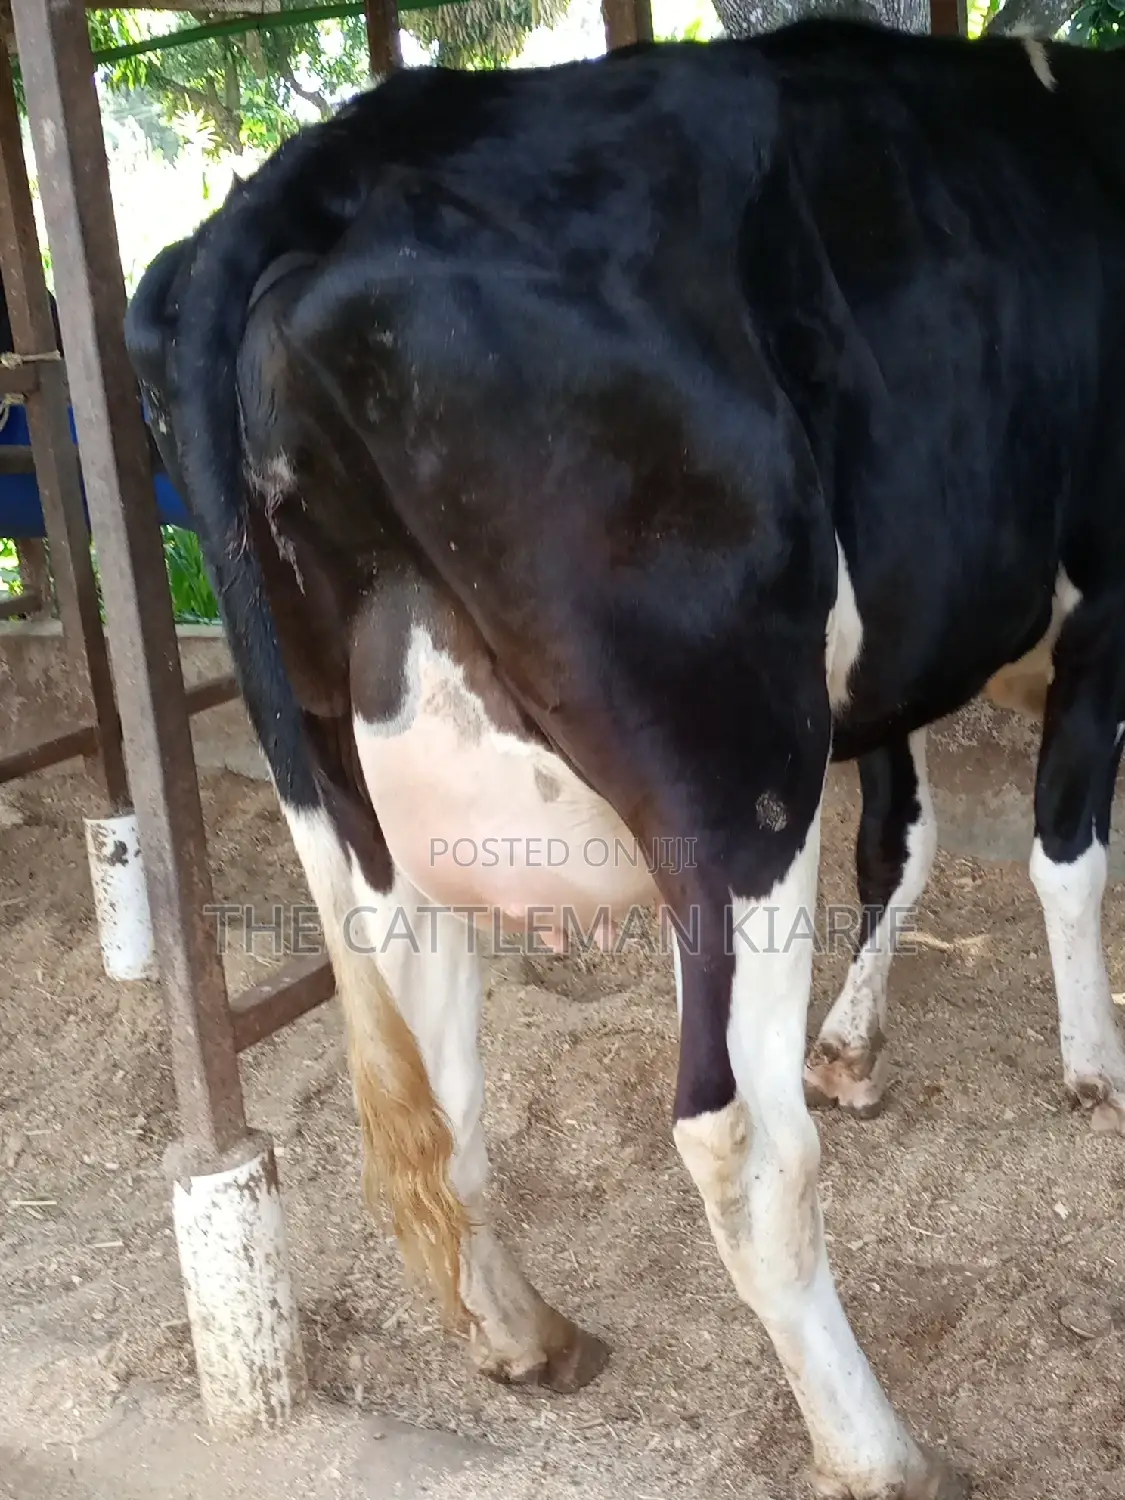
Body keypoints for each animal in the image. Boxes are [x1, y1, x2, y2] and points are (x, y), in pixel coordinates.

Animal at [124, 19, 1125, 1496]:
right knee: (740, 1139)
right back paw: (877, 1448)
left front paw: (855, 1042)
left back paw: (526, 1335)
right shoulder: (1106, 599)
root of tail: (327, 164)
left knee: (435, 1070)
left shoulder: (895, 662)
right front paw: (1093, 1062)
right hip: (738, 763)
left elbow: (903, 837)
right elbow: (1064, 850)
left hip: (352, 797)